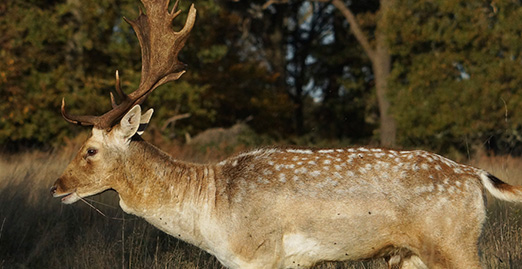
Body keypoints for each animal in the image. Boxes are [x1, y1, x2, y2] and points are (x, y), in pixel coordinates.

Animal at [49, 1, 520, 266]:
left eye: (90, 150)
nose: (55, 186)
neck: (210, 213)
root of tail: (474, 175)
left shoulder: (259, 255)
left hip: (454, 243)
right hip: (409, 255)